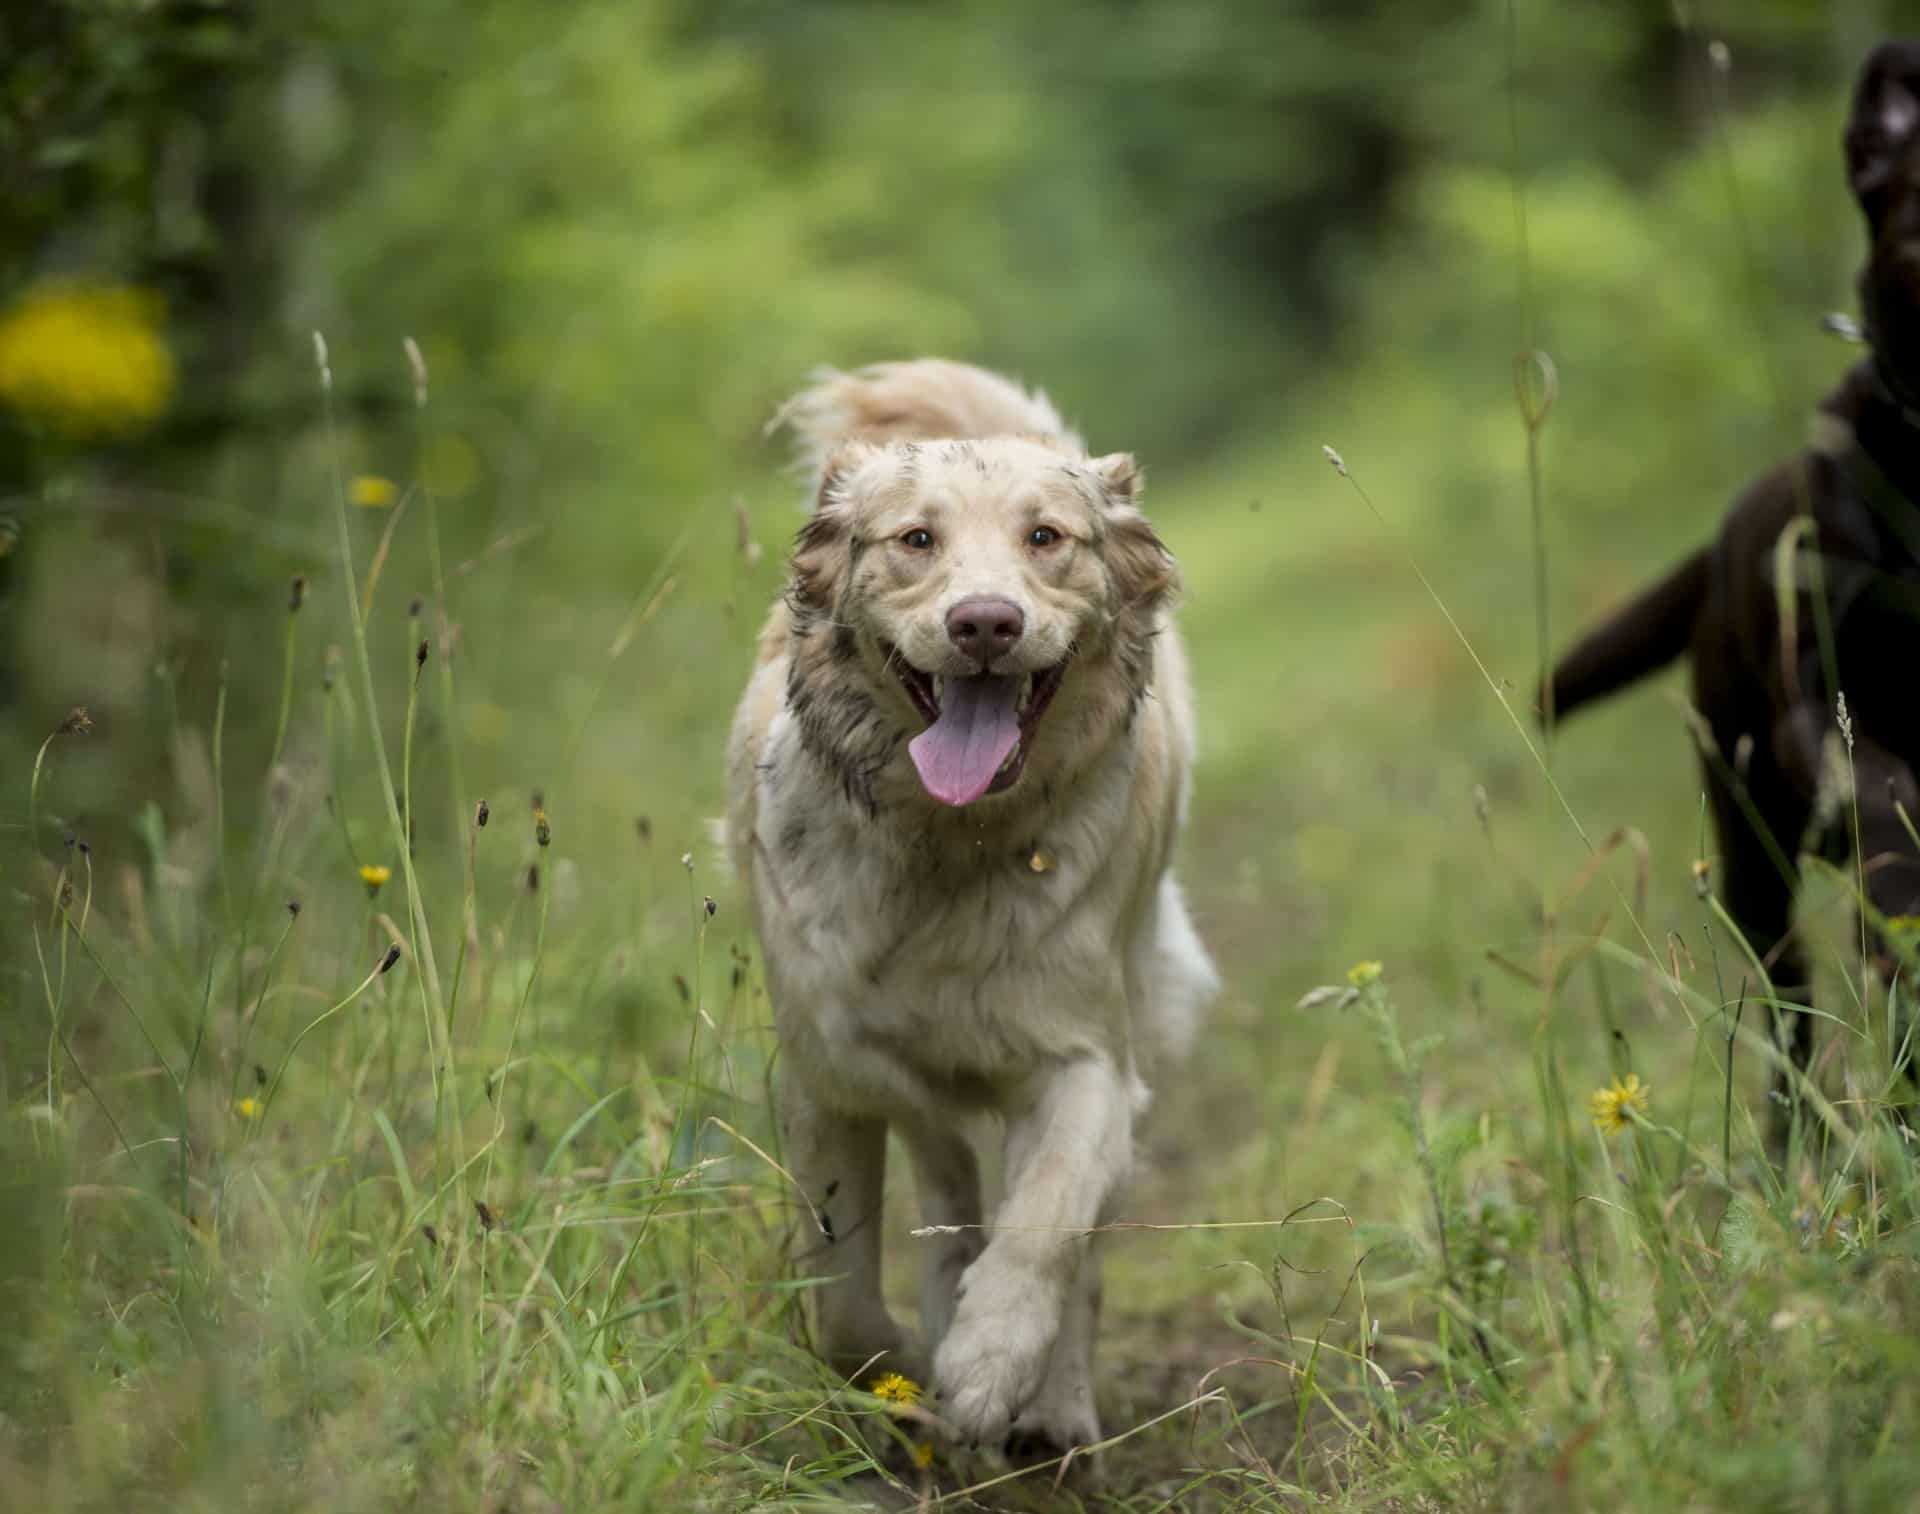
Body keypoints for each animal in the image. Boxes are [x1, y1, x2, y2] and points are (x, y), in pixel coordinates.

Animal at [721, 356, 1213, 1450]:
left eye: (1047, 538)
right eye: (916, 540)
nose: (984, 622)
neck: (952, 841)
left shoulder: (1087, 1058)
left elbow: (1047, 1222)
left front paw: (992, 1363)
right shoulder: (823, 1052)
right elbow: (844, 1289)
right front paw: (908, 1359)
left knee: (1081, 1239)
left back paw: (1057, 1407)